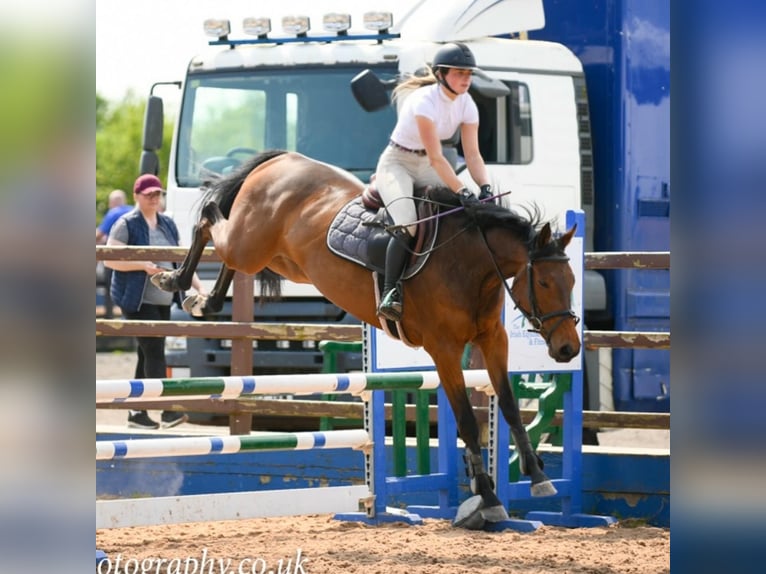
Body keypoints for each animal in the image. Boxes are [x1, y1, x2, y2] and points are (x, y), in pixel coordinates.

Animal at [153, 150, 580, 528]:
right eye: (544, 282)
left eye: (572, 281)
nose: (568, 348)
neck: (471, 264)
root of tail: (282, 159)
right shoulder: (444, 350)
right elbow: (467, 422)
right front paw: (489, 498)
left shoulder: (493, 340)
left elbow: (508, 407)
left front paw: (538, 478)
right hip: (249, 243)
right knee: (209, 219)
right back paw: (174, 280)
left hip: (277, 258)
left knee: (227, 253)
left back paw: (203, 299)